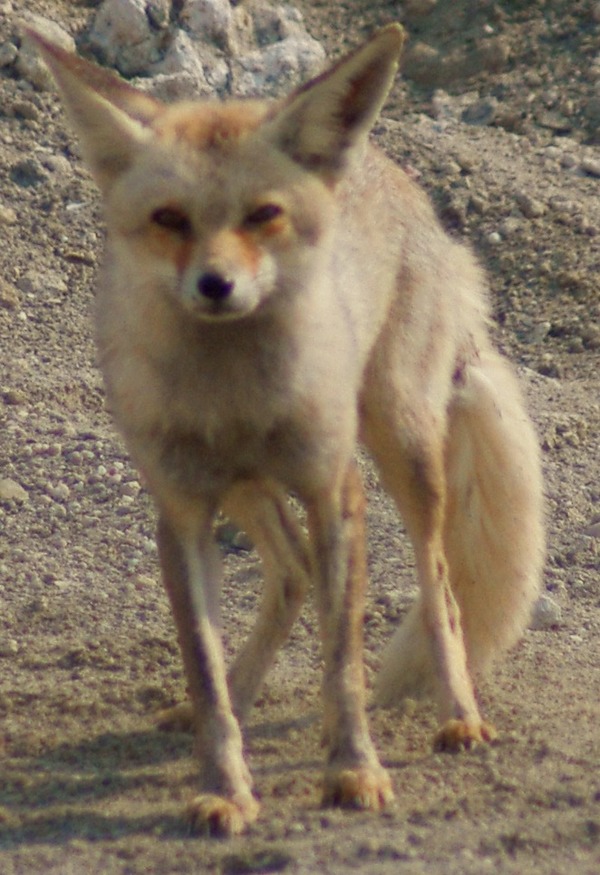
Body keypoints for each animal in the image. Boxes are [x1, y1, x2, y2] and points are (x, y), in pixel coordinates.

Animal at [27, 24, 544, 840]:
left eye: (262, 215)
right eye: (170, 219)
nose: (215, 286)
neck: (235, 394)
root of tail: (391, 170)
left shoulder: (335, 490)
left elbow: (343, 662)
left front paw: (354, 772)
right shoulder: (182, 513)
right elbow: (204, 672)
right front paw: (224, 787)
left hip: (402, 446)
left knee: (441, 589)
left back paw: (458, 715)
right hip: (245, 489)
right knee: (292, 574)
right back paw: (244, 699)